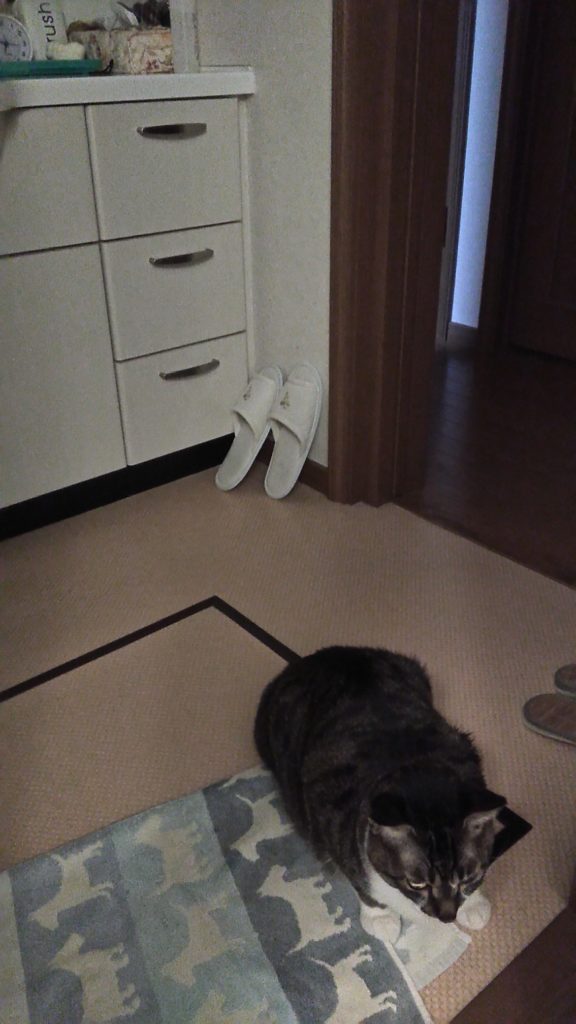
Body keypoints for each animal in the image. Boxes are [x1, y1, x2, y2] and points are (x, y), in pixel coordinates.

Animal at [254, 645, 506, 941]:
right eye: (416, 882)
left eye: (466, 878)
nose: (446, 917)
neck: (409, 762)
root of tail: (321, 657)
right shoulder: (330, 815)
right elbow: (357, 876)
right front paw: (381, 918)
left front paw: (474, 904)